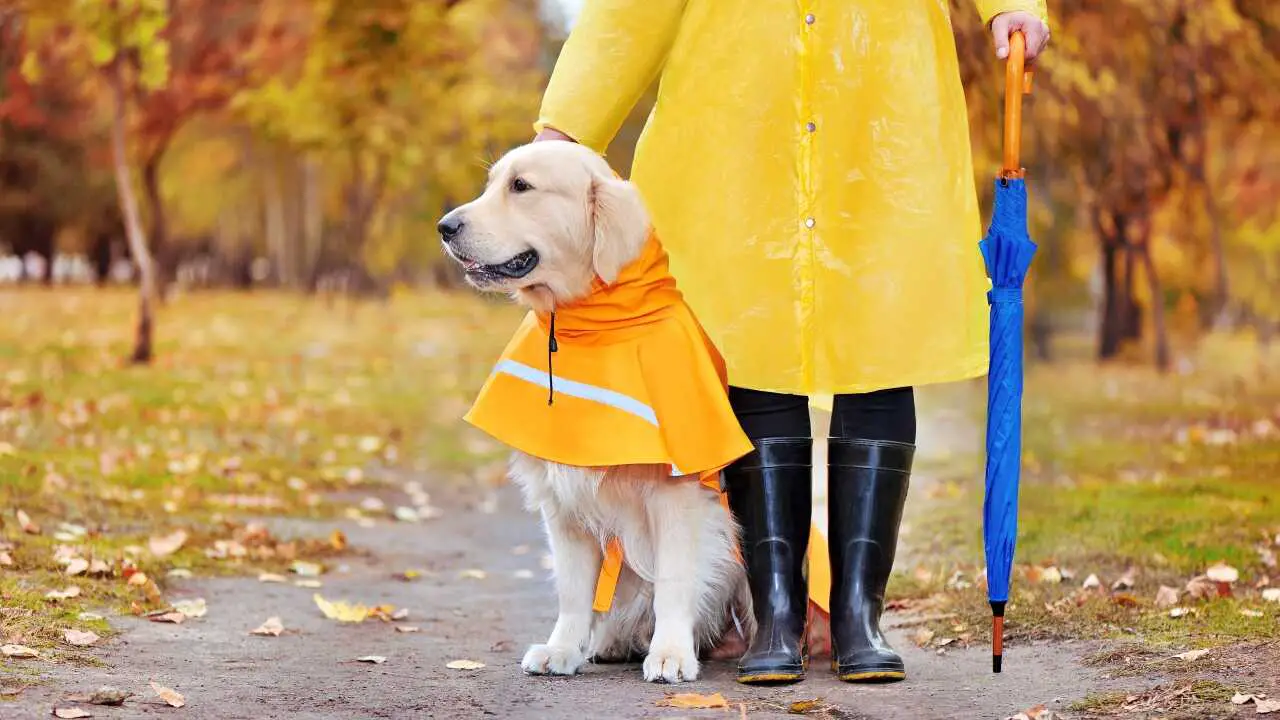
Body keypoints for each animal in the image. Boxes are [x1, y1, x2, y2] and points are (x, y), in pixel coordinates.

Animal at [440, 139, 747, 676]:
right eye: (491, 183)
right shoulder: (562, 500)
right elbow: (572, 588)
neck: (589, 326)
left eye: (521, 186)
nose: (445, 227)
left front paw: (671, 654)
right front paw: (562, 648)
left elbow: (674, 581)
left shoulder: (678, 496)